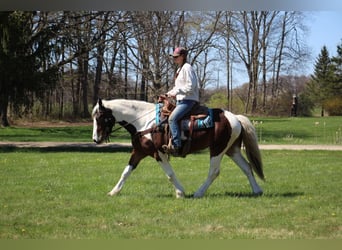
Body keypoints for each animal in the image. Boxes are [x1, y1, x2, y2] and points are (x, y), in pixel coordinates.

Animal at [91, 98, 264, 198]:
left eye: (100, 117)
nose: (95, 139)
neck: (144, 123)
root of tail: (235, 118)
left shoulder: (158, 153)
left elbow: (170, 174)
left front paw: (180, 192)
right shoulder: (139, 152)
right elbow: (126, 172)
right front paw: (114, 191)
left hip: (218, 149)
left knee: (214, 172)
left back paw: (198, 193)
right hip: (231, 150)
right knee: (247, 167)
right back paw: (257, 190)